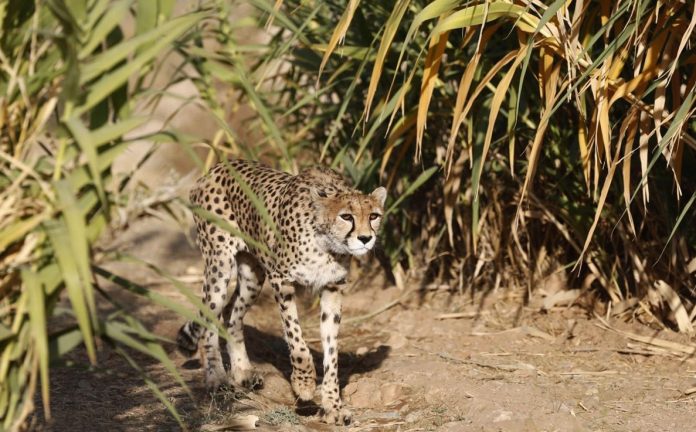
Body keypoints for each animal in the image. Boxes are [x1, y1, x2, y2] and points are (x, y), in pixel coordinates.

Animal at [176, 159, 387, 425]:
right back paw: (217, 378)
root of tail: (216, 168)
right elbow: (297, 341)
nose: (365, 238)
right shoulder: (281, 282)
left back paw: (243, 372)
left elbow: (331, 352)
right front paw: (304, 384)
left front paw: (333, 406)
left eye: (373, 216)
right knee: (209, 318)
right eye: (346, 216)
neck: (326, 245)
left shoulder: (332, 289)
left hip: (253, 275)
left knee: (232, 314)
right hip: (219, 266)